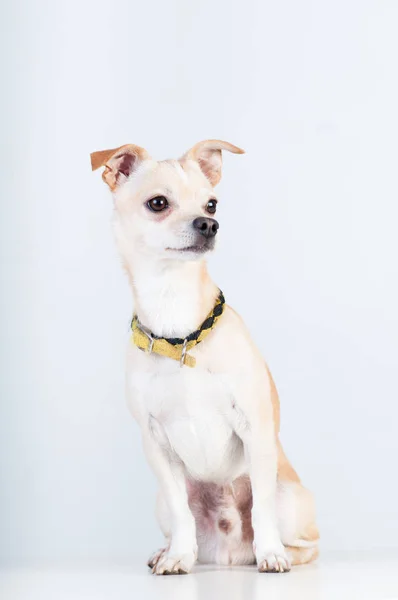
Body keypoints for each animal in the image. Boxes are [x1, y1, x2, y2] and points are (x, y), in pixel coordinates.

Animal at [91, 138, 318, 576]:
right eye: (158, 203)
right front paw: (178, 556)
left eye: (212, 204)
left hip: (291, 500)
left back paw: (276, 553)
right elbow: (182, 512)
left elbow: (262, 507)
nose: (209, 224)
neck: (177, 325)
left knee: (304, 542)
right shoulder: (156, 444)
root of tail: (230, 553)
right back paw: (169, 550)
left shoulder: (254, 428)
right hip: (161, 504)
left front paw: (271, 554)